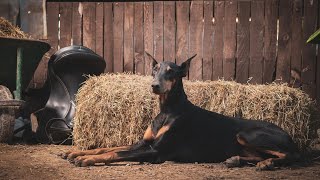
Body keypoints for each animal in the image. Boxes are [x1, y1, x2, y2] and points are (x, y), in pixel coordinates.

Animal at [60, 52, 300, 170]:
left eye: (171, 71)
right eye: (155, 69)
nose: (155, 86)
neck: (167, 109)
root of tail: (289, 134)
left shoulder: (155, 151)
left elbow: (114, 153)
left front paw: (85, 160)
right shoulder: (144, 142)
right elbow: (108, 147)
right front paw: (76, 152)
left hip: (245, 133)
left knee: (291, 155)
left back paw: (268, 163)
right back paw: (237, 160)